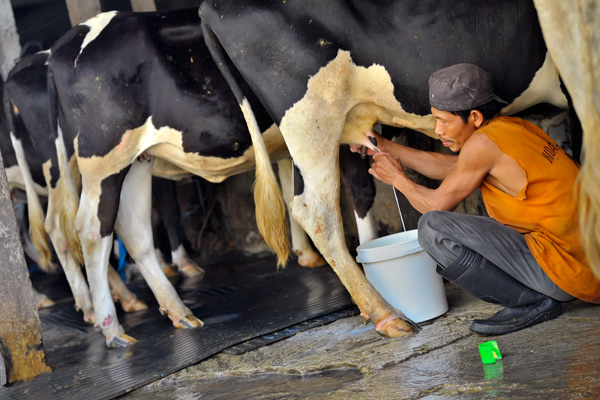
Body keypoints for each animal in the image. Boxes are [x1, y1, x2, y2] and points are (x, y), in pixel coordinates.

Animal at [47, 7, 378, 346]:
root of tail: (65, 43)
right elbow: (362, 192)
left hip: (134, 159)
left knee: (126, 228)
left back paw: (175, 311)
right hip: (101, 160)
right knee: (88, 229)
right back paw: (111, 327)